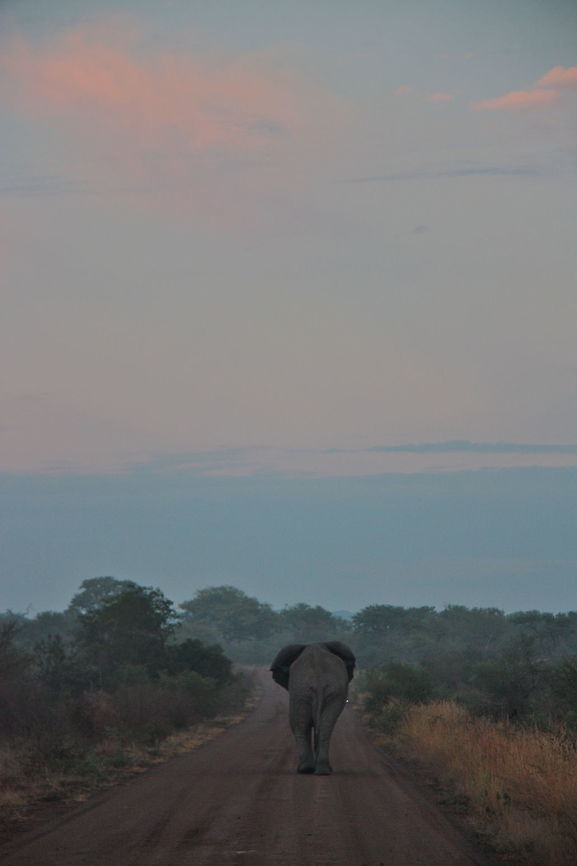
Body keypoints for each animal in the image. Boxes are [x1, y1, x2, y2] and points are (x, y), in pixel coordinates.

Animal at [270, 641, 356, 775]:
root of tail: (318, 681)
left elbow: (295, 722)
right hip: (333, 692)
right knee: (326, 726)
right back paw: (322, 770)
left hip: (301, 691)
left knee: (299, 725)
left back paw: (305, 769)